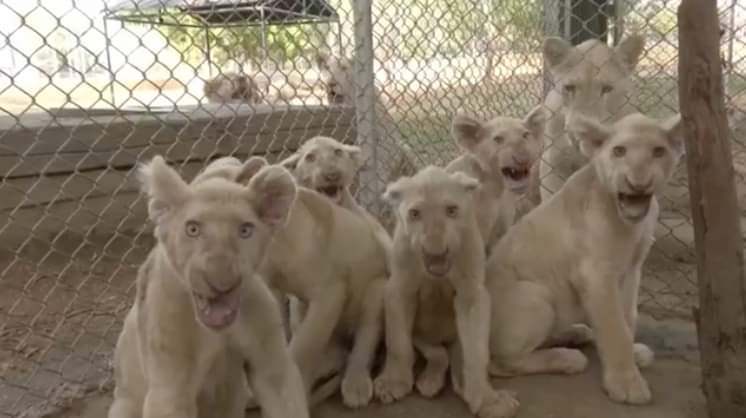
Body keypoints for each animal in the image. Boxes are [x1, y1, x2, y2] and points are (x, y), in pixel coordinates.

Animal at [107, 156, 308, 418]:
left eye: (245, 230)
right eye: (192, 229)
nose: (222, 282)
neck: (217, 333)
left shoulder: (273, 368)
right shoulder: (170, 388)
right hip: (124, 404)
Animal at [372, 165, 519, 418]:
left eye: (451, 210)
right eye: (415, 214)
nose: (436, 251)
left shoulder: (472, 295)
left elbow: (476, 352)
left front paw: (488, 400)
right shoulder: (398, 289)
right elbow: (397, 343)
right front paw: (392, 383)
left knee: (456, 354)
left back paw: (461, 383)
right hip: (422, 336)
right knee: (438, 355)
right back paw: (429, 382)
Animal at [485, 112, 683, 405]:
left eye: (658, 151)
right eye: (619, 151)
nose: (638, 183)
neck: (628, 223)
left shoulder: (632, 270)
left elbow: (628, 317)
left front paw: (634, 354)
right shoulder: (596, 275)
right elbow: (614, 327)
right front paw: (626, 384)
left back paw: (576, 333)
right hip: (535, 296)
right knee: (500, 363)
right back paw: (567, 358)